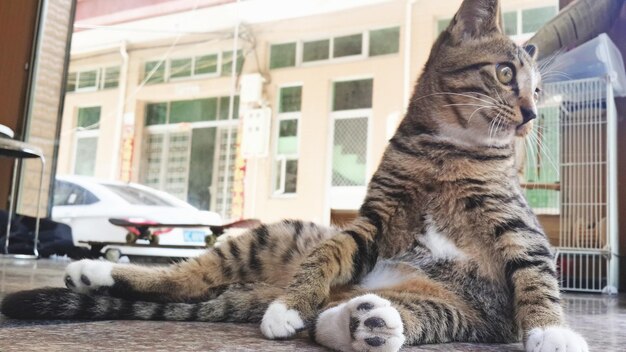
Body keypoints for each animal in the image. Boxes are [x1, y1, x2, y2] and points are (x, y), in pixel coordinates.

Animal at [1, 0, 584, 352]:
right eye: (506, 74)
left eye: (537, 90)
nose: (532, 115)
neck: (443, 151)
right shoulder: (372, 220)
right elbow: (329, 253)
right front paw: (291, 305)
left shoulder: (516, 225)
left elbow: (536, 274)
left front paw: (551, 332)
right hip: (273, 235)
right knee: (189, 278)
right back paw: (97, 271)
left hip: (460, 306)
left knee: (405, 315)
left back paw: (362, 322)